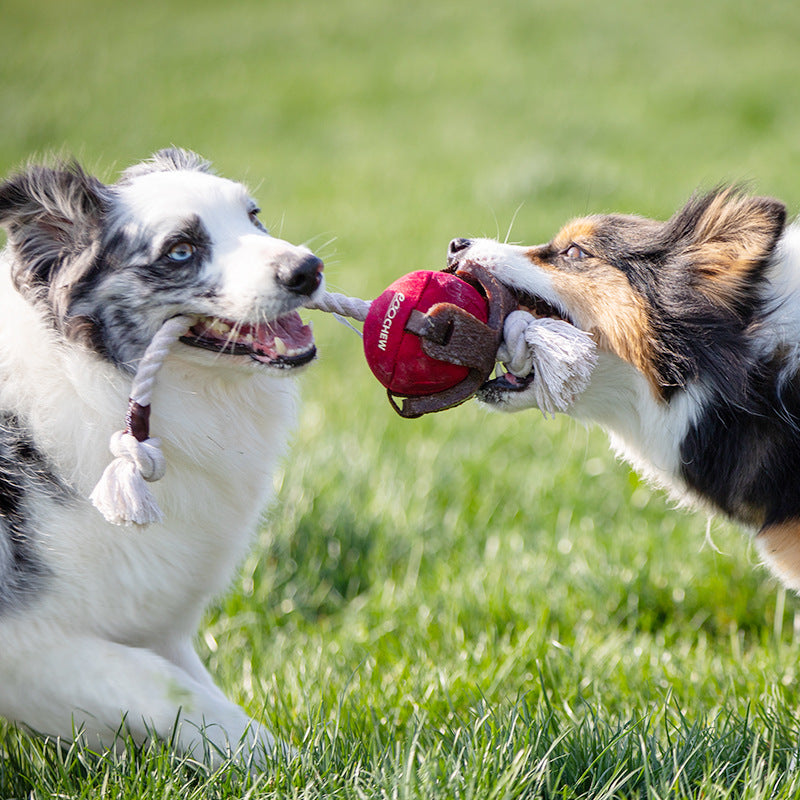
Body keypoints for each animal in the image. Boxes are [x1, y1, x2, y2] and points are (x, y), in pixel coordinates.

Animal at [0, 148, 322, 764]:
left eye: (253, 216)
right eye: (180, 250)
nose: (308, 270)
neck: (89, 379)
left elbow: (191, 681)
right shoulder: (28, 645)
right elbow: (167, 688)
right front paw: (288, 764)